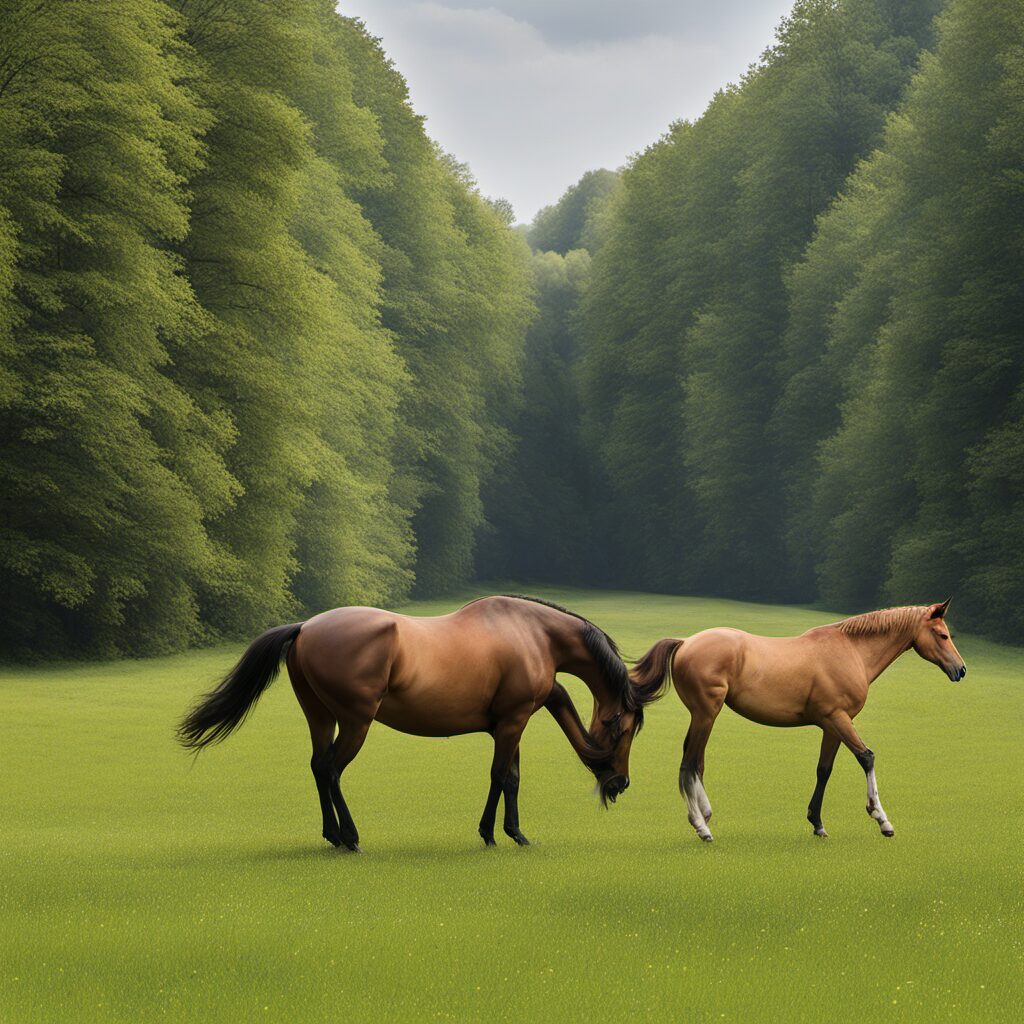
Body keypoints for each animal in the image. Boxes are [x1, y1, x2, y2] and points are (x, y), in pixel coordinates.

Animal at [178, 595, 657, 851]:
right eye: (623, 728)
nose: (621, 783)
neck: (533, 634)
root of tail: (306, 627)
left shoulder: (512, 722)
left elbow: (511, 778)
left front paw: (510, 832)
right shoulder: (513, 722)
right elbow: (501, 776)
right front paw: (496, 833)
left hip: (321, 717)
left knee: (317, 766)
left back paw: (332, 834)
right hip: (356, 722)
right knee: (331, 769)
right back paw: (350, 836)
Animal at [629, 599, 966, 842]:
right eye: (943, 635)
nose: (960, 669)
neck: (852, 651)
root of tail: (686, 642)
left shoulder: (832, 725)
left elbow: (824, 770)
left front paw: (817, 823)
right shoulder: (839, 719)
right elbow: (867, 757)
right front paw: (882, 819)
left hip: (704, 716)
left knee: (696, 763)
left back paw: (705, 815)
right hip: (705, 714)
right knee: (689, 763)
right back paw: (702, 827)